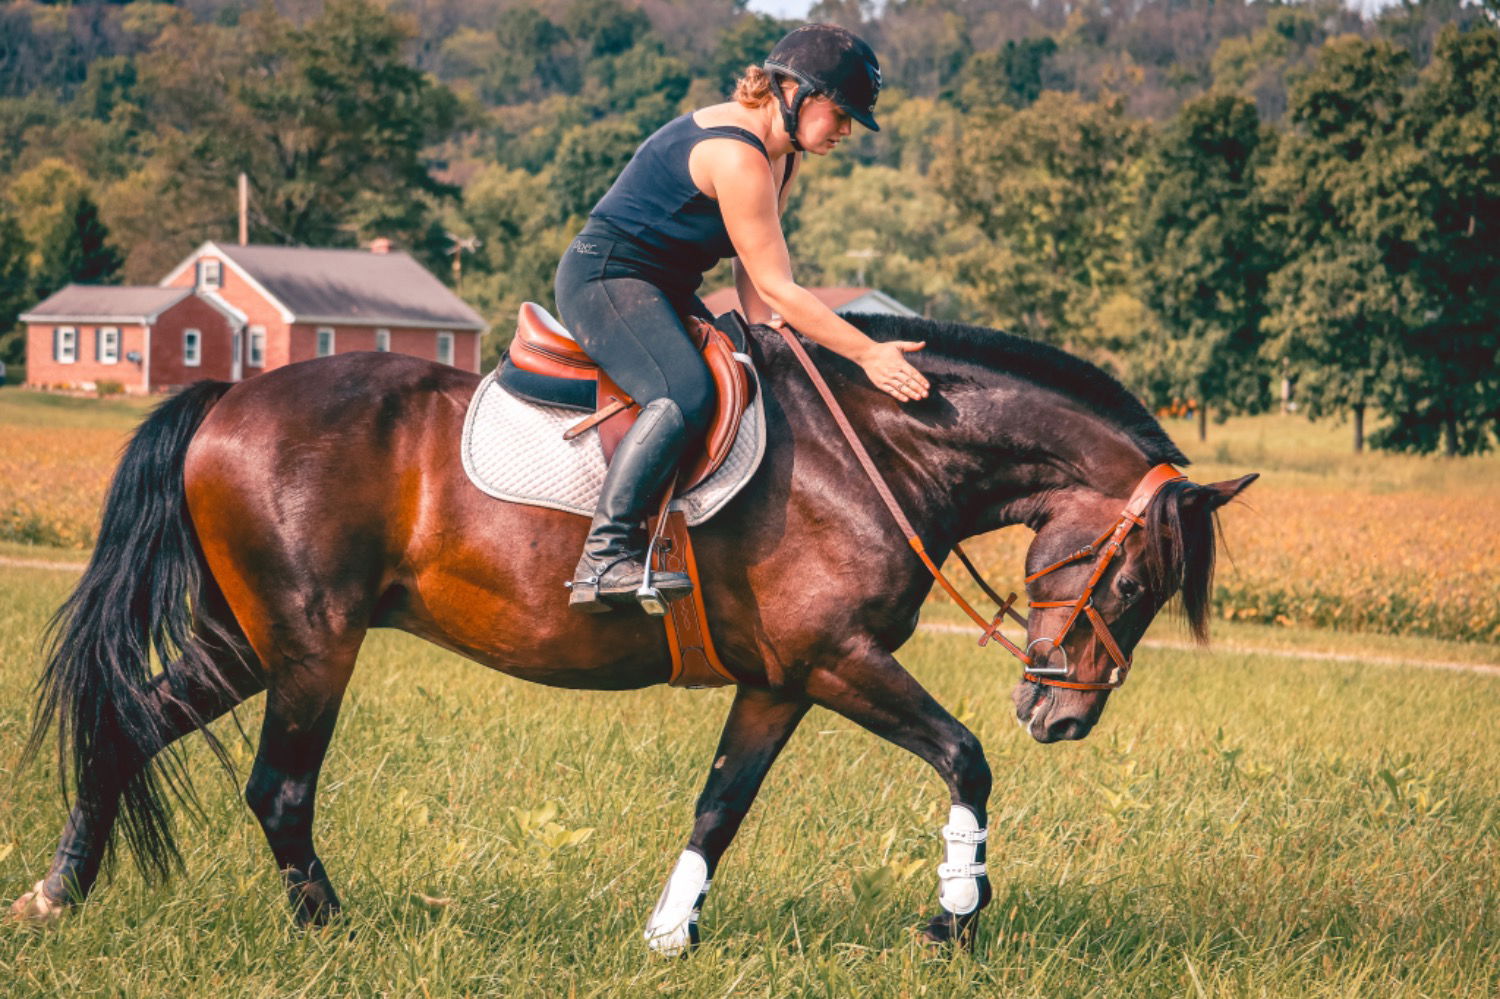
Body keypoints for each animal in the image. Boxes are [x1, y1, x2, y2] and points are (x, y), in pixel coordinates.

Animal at [11, 314, 1255, 951]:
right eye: (1135, 575)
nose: (1062, 713)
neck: (883, 453)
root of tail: (226, 397)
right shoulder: (840, 661)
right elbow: (964, 757)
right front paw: (955, 911)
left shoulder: (784, 680)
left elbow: (720, 804)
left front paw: (670, 935)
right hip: (311, 644)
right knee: (278, 788)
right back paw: (332, 936)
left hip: (244, 639)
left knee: (127, 727)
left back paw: (57, 897)